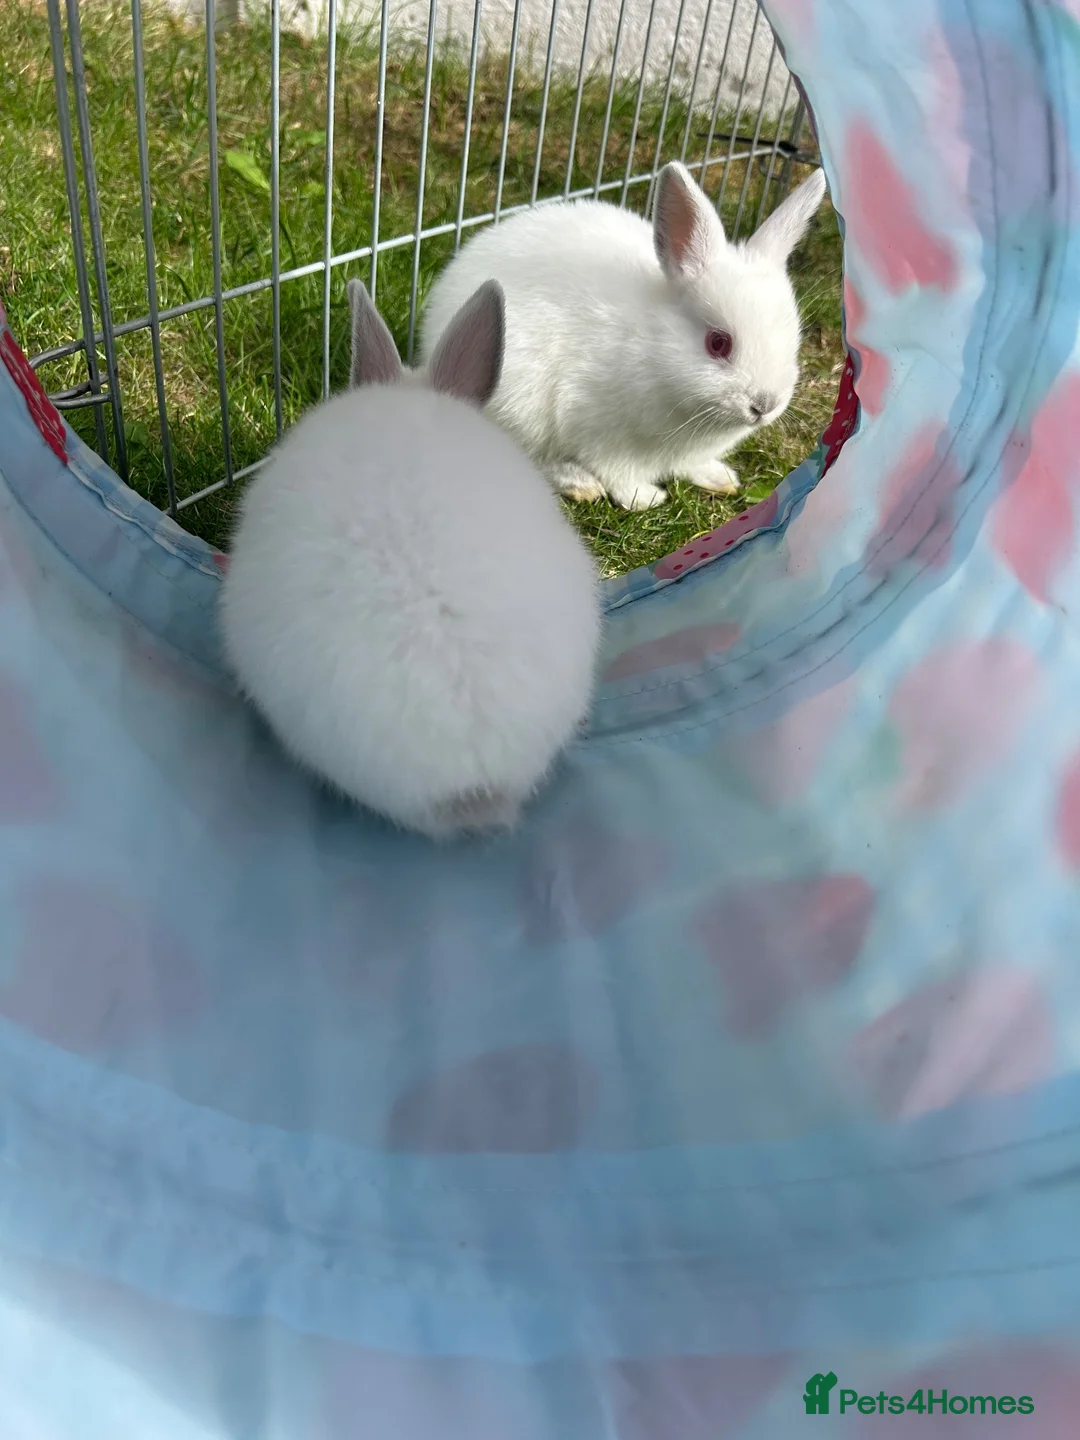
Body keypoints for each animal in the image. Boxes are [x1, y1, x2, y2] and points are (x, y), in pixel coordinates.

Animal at [419, 163, 827, 511]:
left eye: (793, 341)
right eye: (718, 343)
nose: (764, 405)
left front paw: (721, 478)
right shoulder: (598, 430)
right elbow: (618, 474)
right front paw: (646, 498)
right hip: (520, 406)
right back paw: (579, 483)